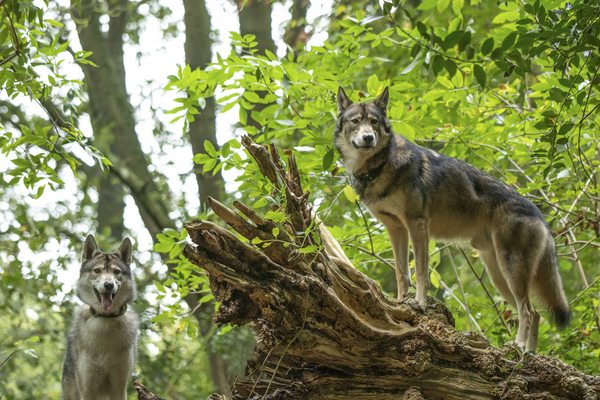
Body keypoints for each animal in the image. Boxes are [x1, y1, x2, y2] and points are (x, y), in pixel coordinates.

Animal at [62, 236, 139, 398]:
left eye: (116, 272)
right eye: (97, 270)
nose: (108, 285)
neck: (106, 321)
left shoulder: (119, 387)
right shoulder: (88, 389)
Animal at [336, 86, 568, 350]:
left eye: (374, 122)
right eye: (356, 121)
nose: (368, 138)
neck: (381, 165)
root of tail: (540, 215)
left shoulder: (417, 224)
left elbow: (421, 273)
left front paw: (420, 304)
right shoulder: (396, 229)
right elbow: (402, 275)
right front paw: (398, 304)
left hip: (510, 269)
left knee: (528, 310)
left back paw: (518, 346)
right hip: (498, 275)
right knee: (535, 313)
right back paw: (529, 354)